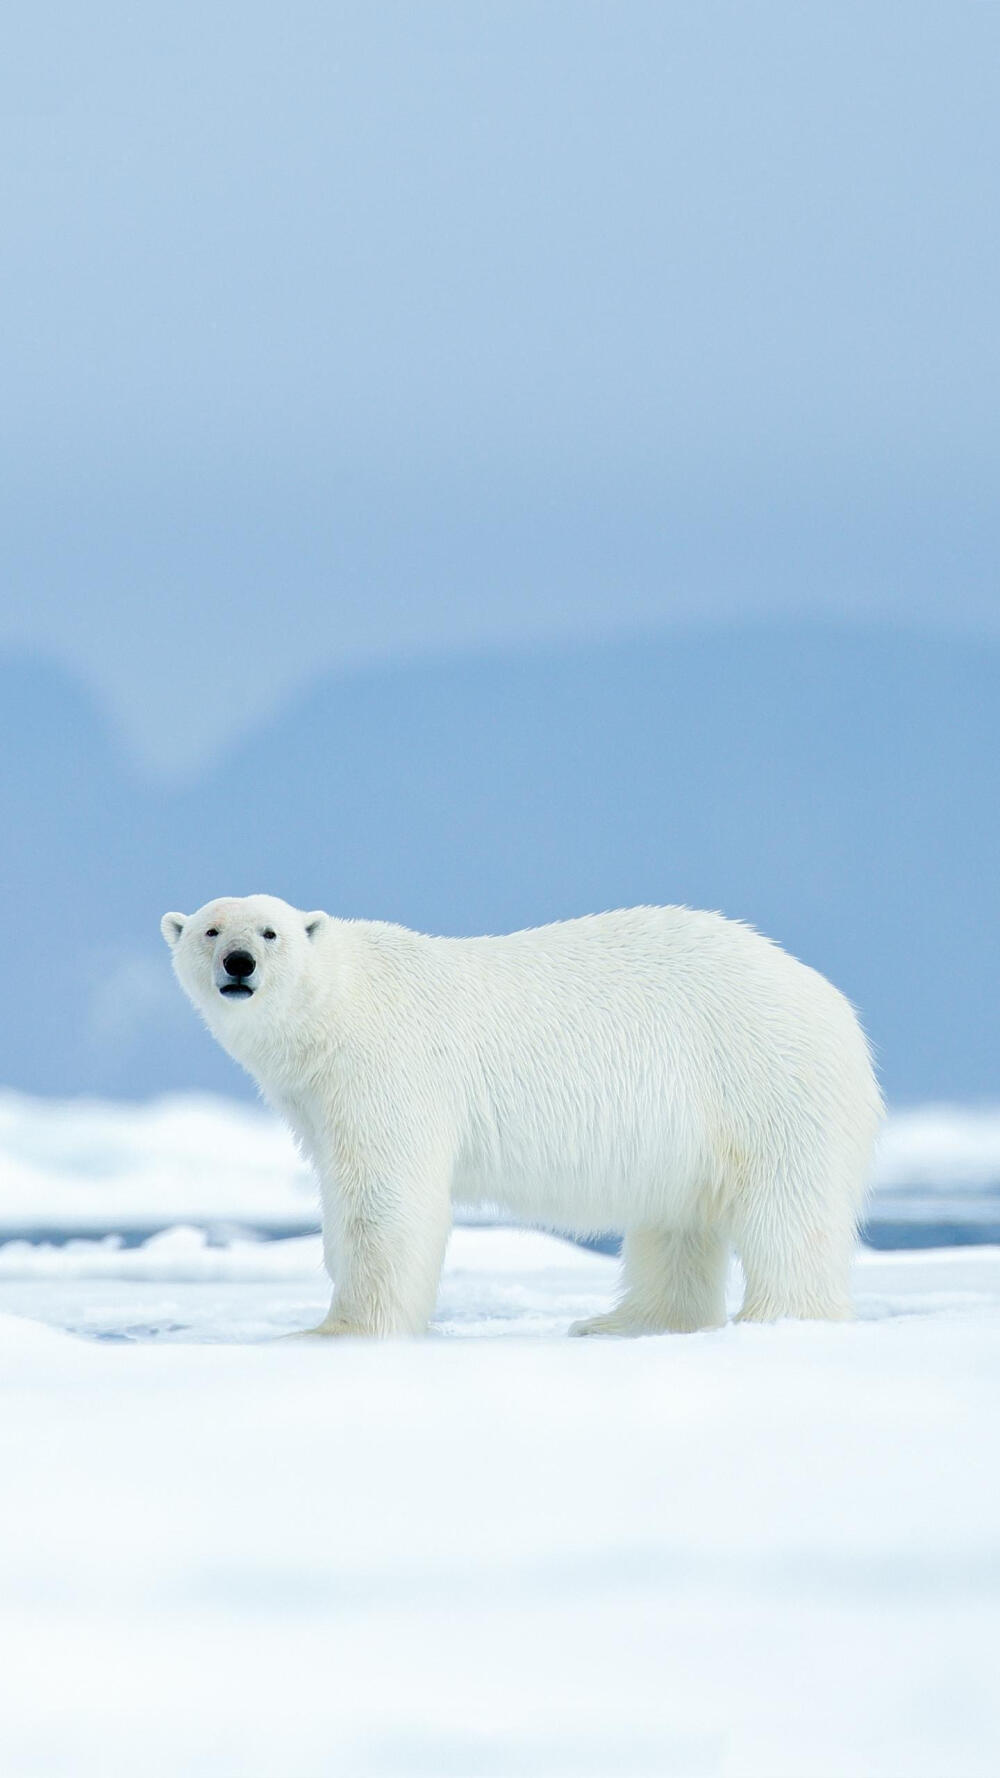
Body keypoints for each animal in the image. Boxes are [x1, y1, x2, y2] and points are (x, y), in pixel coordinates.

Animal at [161, 903, 879, 1337]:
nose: (239, 964)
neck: (342, 1002)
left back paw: (779, 1319)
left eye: (269, 932)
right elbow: (342, 1195)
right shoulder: (315, 1098)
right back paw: (624, 1321)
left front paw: (341, 1329)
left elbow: (386, 1200)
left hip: (764, 1081)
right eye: (210, 930)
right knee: (676, 1221)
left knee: (790, 1212)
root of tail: (833, 1002)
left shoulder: (387, 1068)